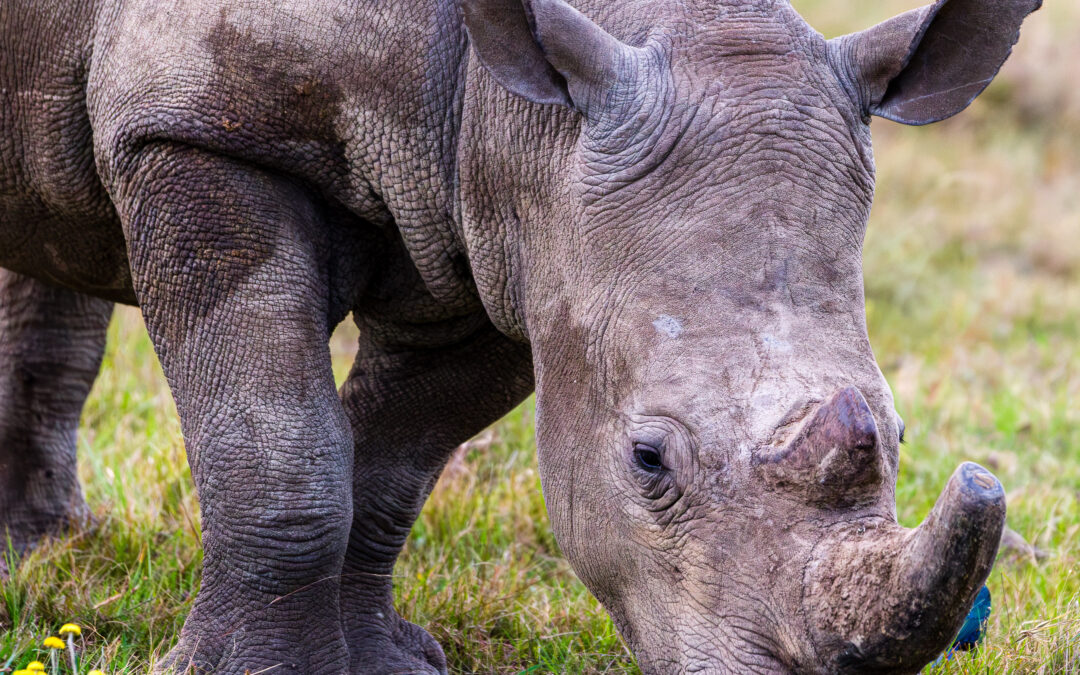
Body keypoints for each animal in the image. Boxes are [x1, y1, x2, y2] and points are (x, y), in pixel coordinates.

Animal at [0, 0, 1041, 671]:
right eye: (648, 460)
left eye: (898, 435)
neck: (517, 118)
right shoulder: (196, 130)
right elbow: (280, 451)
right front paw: (260, 672)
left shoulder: (513, 233)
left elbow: (389, 463)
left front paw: (383, 663)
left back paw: (44, 548)